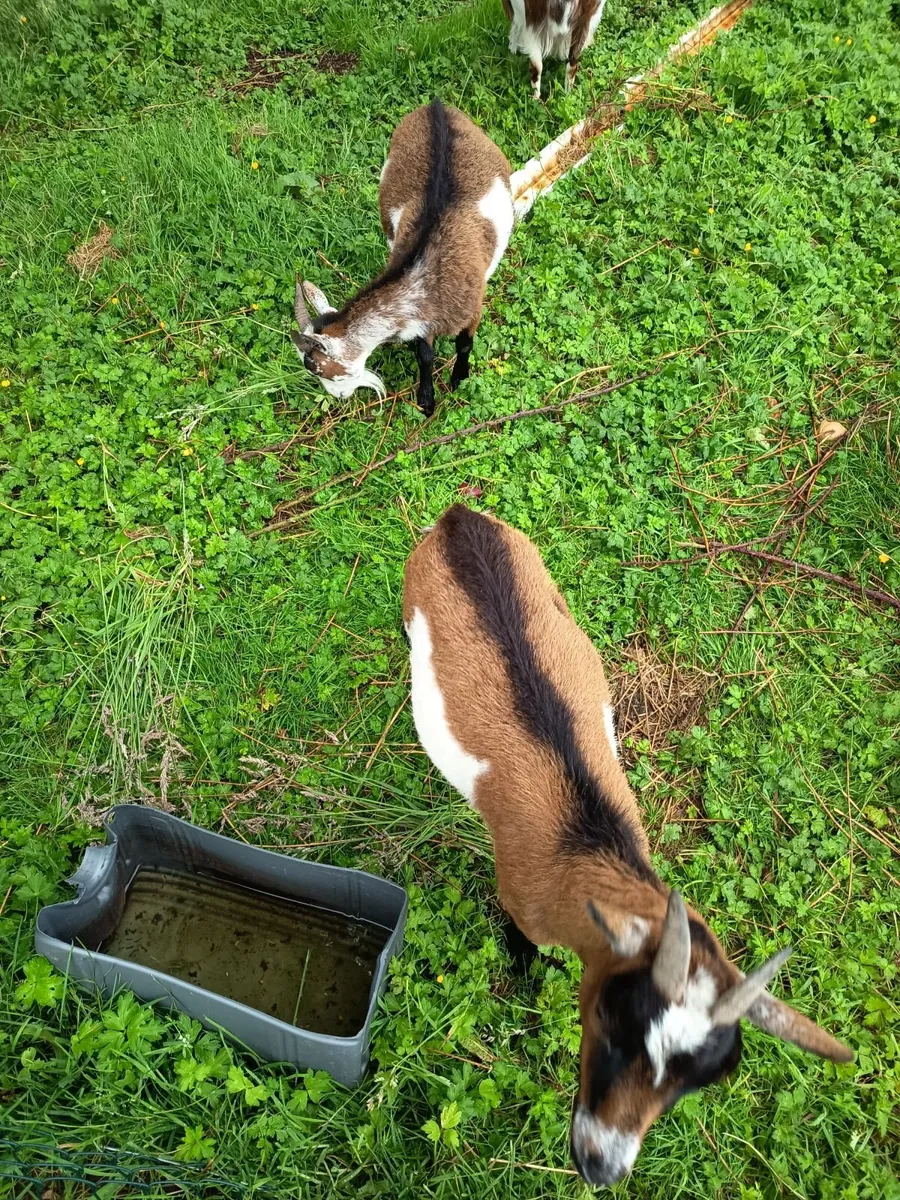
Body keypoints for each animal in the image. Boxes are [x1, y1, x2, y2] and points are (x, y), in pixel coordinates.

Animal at [291, 98, 513, 417]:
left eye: (328, 373)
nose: (340, 397)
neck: (425, 270)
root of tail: (436, 104)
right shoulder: (421, 318)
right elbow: (425, 354)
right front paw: (426, 400)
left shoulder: (473, 306)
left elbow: (464, 344)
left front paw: (459, 378)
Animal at [402, 504, 852, 1187]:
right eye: (611, 1027)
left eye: (700, 1082)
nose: (600, 1165)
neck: (586, 848)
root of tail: (458, 518)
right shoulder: (518, 900)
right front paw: (523, 980)